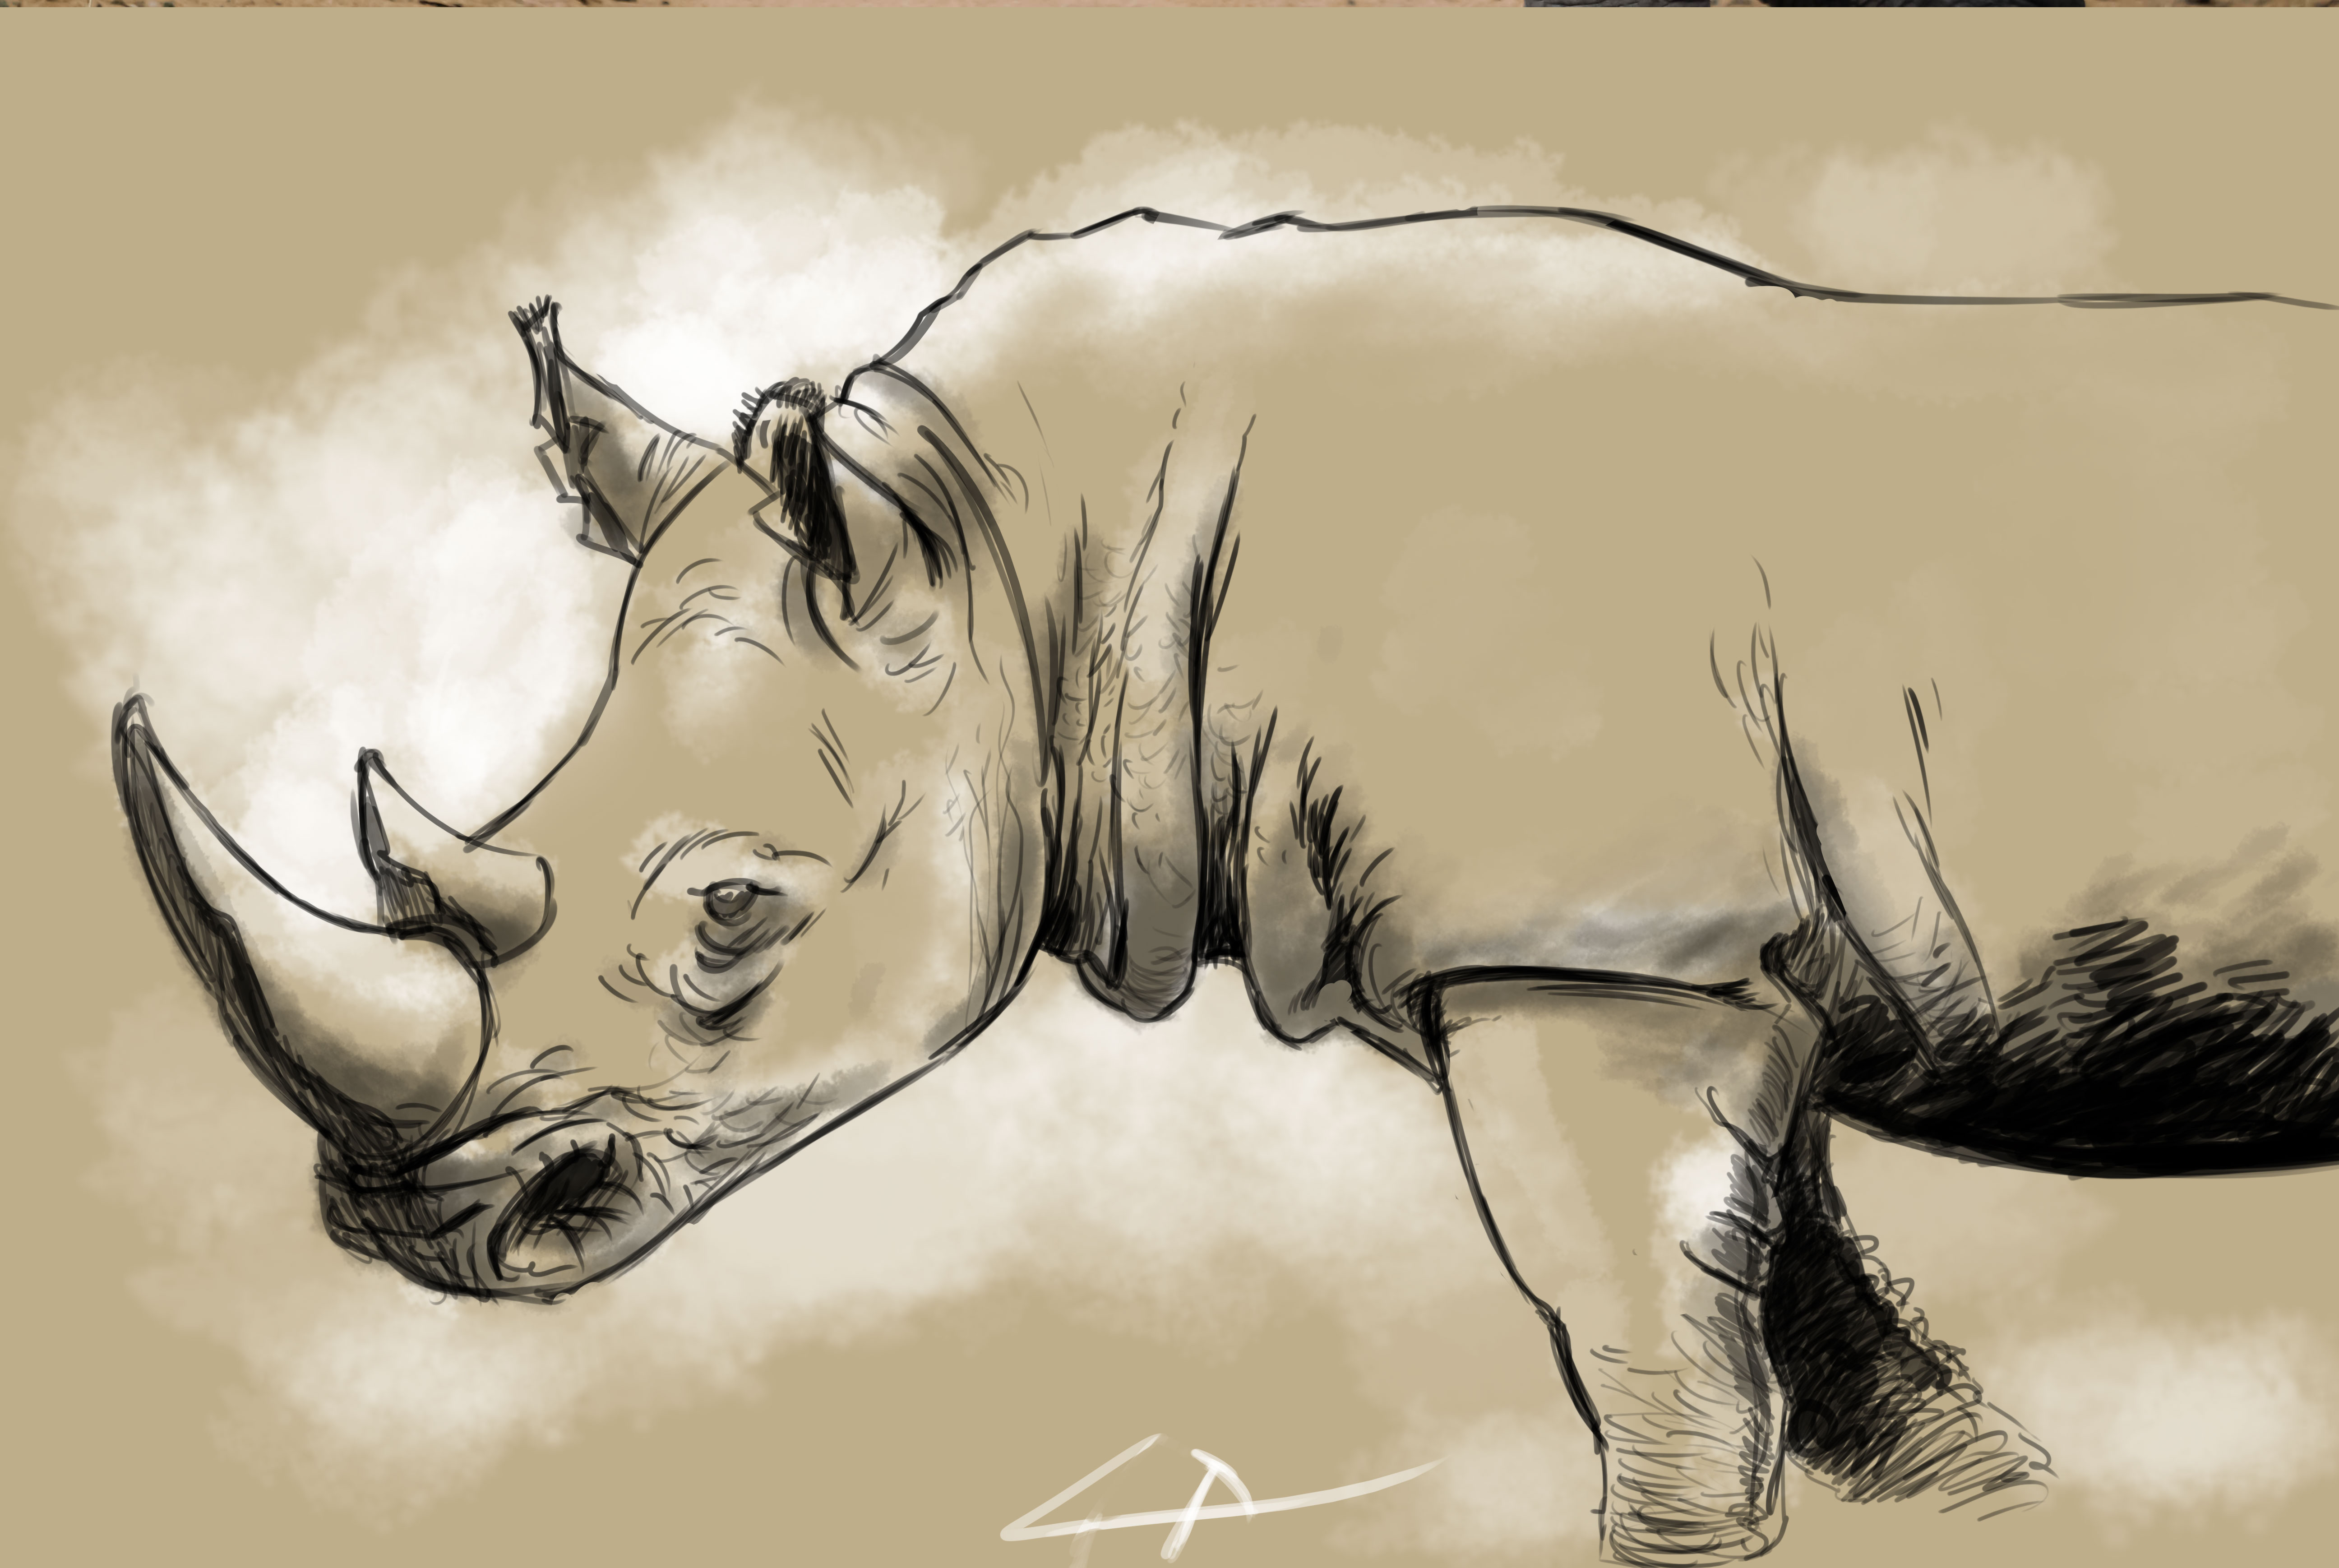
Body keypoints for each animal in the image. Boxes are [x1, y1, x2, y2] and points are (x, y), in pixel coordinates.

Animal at [113, 207, 2337, 1564]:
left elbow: (1650, 1346)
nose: (402, 1223)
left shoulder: (1587, 955)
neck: (1031, 545)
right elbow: (1803, 1313)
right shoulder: (1696, 947)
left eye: (734, 915)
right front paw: (2004, 1501)